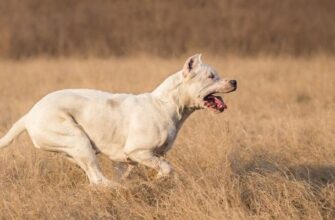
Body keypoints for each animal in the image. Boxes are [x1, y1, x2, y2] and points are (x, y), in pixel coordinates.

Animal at [0, 54, 236, 186]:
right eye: (211, 76)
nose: (234, 81)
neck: (166, 104)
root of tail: (29, 115)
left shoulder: (128, 160)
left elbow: (135, 170)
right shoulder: (139, 152)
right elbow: (167, 168)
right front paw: (156, 180)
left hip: (75, 151)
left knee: (93, 177)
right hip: (78, 140)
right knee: (97, 180)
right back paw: (121, 189)